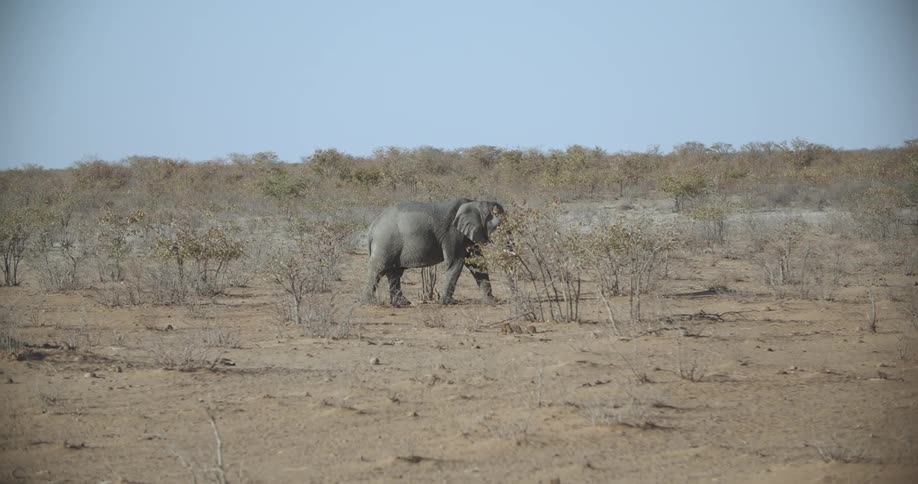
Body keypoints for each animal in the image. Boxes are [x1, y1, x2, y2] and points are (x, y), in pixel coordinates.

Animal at [363, 198, 505, 306]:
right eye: (500, 226)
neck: (476, 203)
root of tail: (372, 227)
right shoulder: (452, 233)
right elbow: (455, 262)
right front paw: (448, 302)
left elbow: (477, 262)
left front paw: (491, 301)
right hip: (386, 242)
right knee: (379, 269)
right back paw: (370, 302)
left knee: (395, 272)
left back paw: (402, 303)